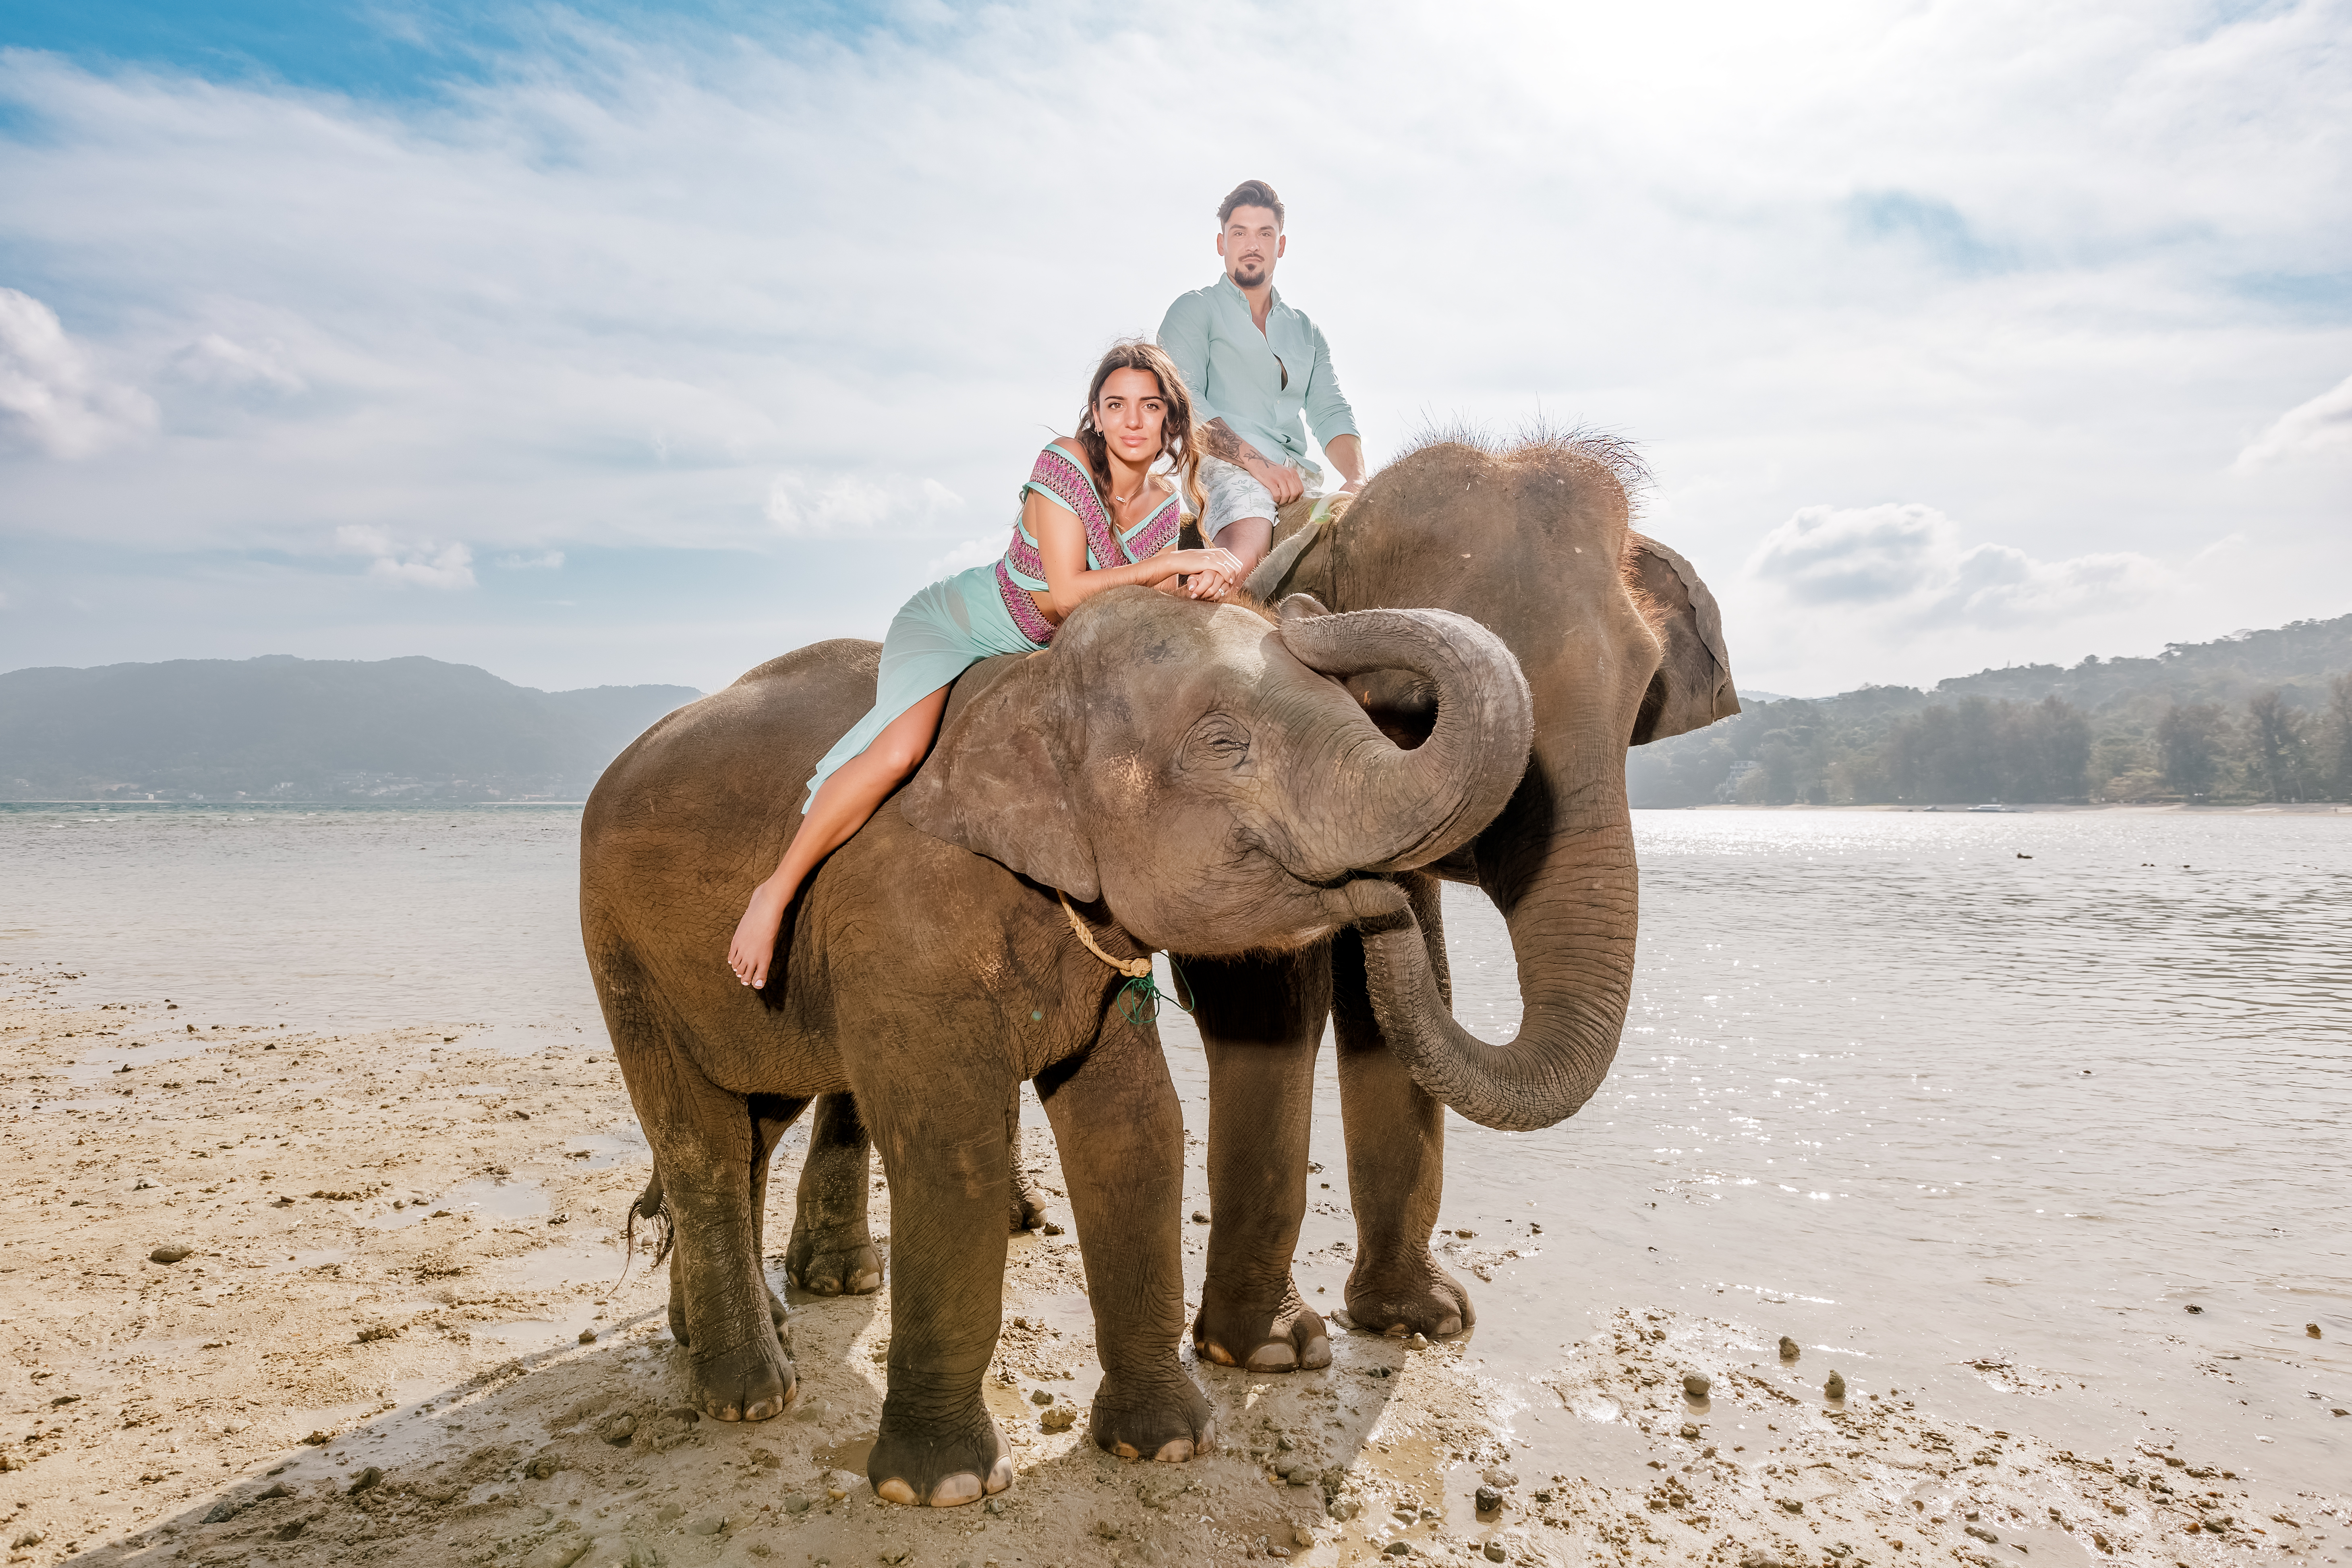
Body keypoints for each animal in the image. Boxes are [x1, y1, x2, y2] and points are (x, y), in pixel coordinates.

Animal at [576, 583, 1535, 1506]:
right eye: (1223, 742)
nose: (1300, 608)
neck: (1029, 680)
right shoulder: (900, 923)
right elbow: (952, 1151)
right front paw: (941, 1486)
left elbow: (1134, 1127)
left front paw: (1166, 1443)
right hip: (621, 951)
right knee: (700, 1143)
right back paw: (750, 1395)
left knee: (750, 1129)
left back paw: (723, 1339)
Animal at [773, 430, 1739, 1375]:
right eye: (1411, 704)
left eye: (1642, 693)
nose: (1300, 614)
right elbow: (1266, 1008)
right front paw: (1272, 1348)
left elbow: (1400, 1004)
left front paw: (1423, 1319)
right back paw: (843, 1276)